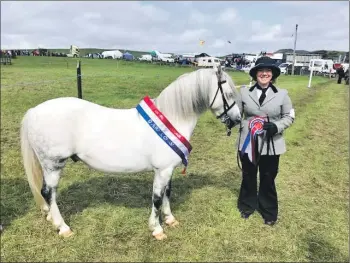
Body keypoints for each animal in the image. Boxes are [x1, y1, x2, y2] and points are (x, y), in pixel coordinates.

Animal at [20, 65, 242, 240]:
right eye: (229, 94)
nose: (237, 120)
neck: (171, 118)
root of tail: (33, 111)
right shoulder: (162, 170)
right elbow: (157, 198)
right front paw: (157, 229)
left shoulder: (169, 169)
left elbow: (167, 193)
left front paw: (170, 219)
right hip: (53, 164)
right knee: (48, 192)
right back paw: (63, 227)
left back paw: (51, 217)